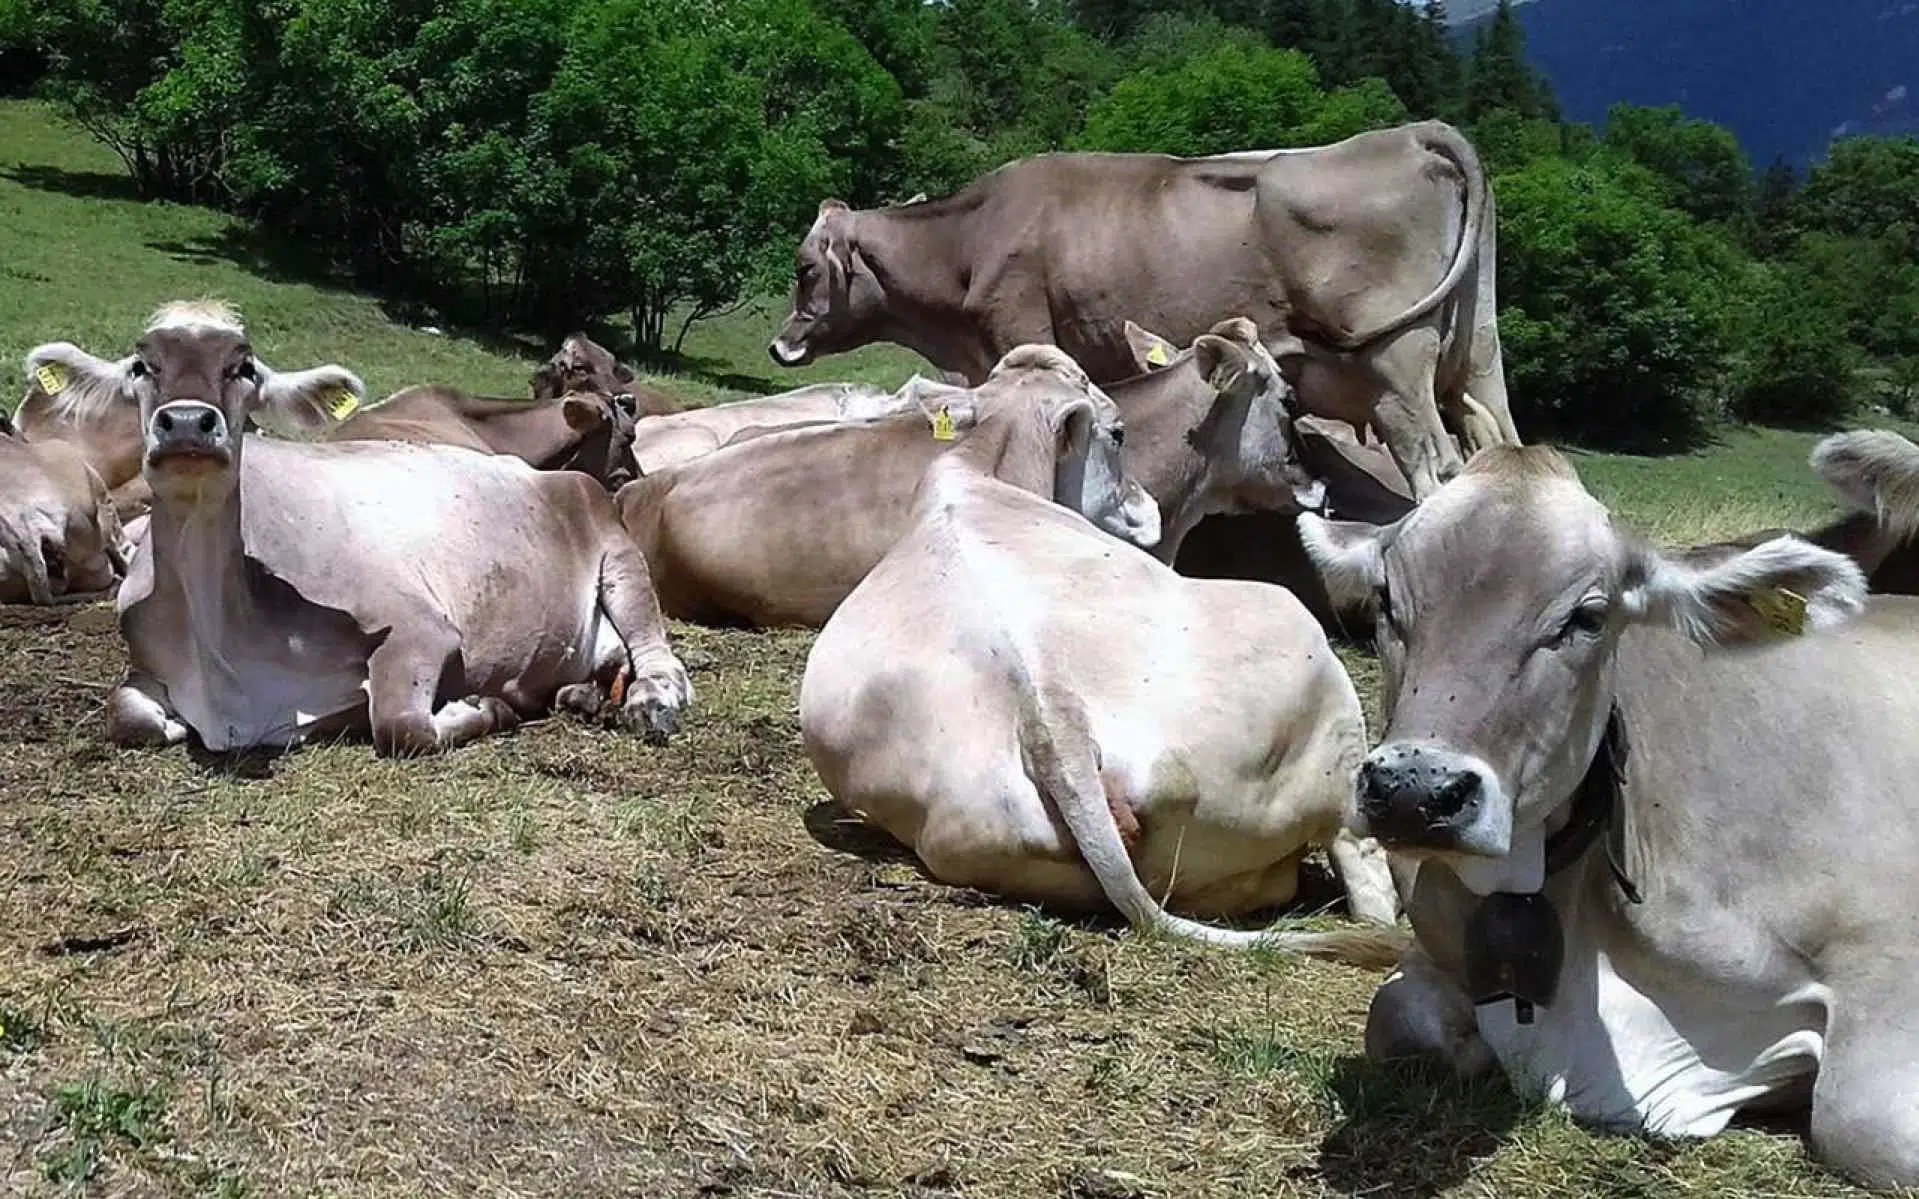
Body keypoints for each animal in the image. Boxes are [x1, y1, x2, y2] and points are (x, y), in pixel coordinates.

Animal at [769, 120, 1518, 501]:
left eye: (804, 269)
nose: (780, 345)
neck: (969, 240)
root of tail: (1413, 133)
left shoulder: (1018, 333)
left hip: (1397, 375)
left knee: (1437, 471)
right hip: (1476, 362)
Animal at [797, 348, 1404, 954]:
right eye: (1117, 433)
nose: (1147, 507)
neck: (978, 470)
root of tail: (1052, 719)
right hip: (1318, 689)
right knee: (1364, 873)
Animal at [1294, 438, 1919, 1189]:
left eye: (1587, 617)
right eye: (1387, 598)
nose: (1415, 790)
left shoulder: (1888, 950)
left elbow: (1864, 1121)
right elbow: (1397, 1020)